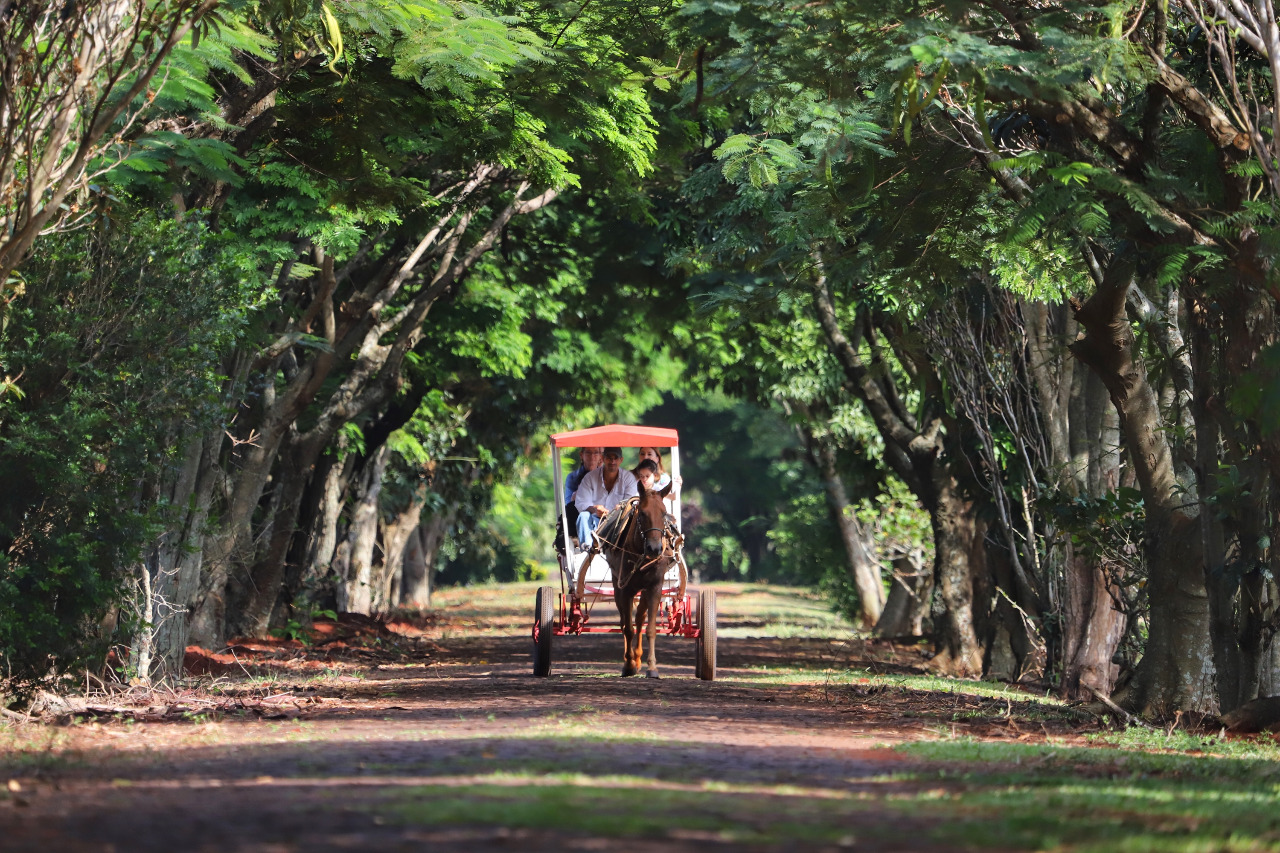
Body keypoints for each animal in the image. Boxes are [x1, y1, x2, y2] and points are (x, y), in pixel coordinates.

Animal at [583, 481, 675, 676]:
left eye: (664, 513)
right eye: (643, 513)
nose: (655, 548)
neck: (641, 553)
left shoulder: (654, 587)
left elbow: (649, 628)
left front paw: (652, 667)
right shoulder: (625, 589)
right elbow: (627, 628)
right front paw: (628, 665)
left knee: (640, 618)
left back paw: (638, 657)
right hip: (618, 586)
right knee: (624, 621)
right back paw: (631, 659)